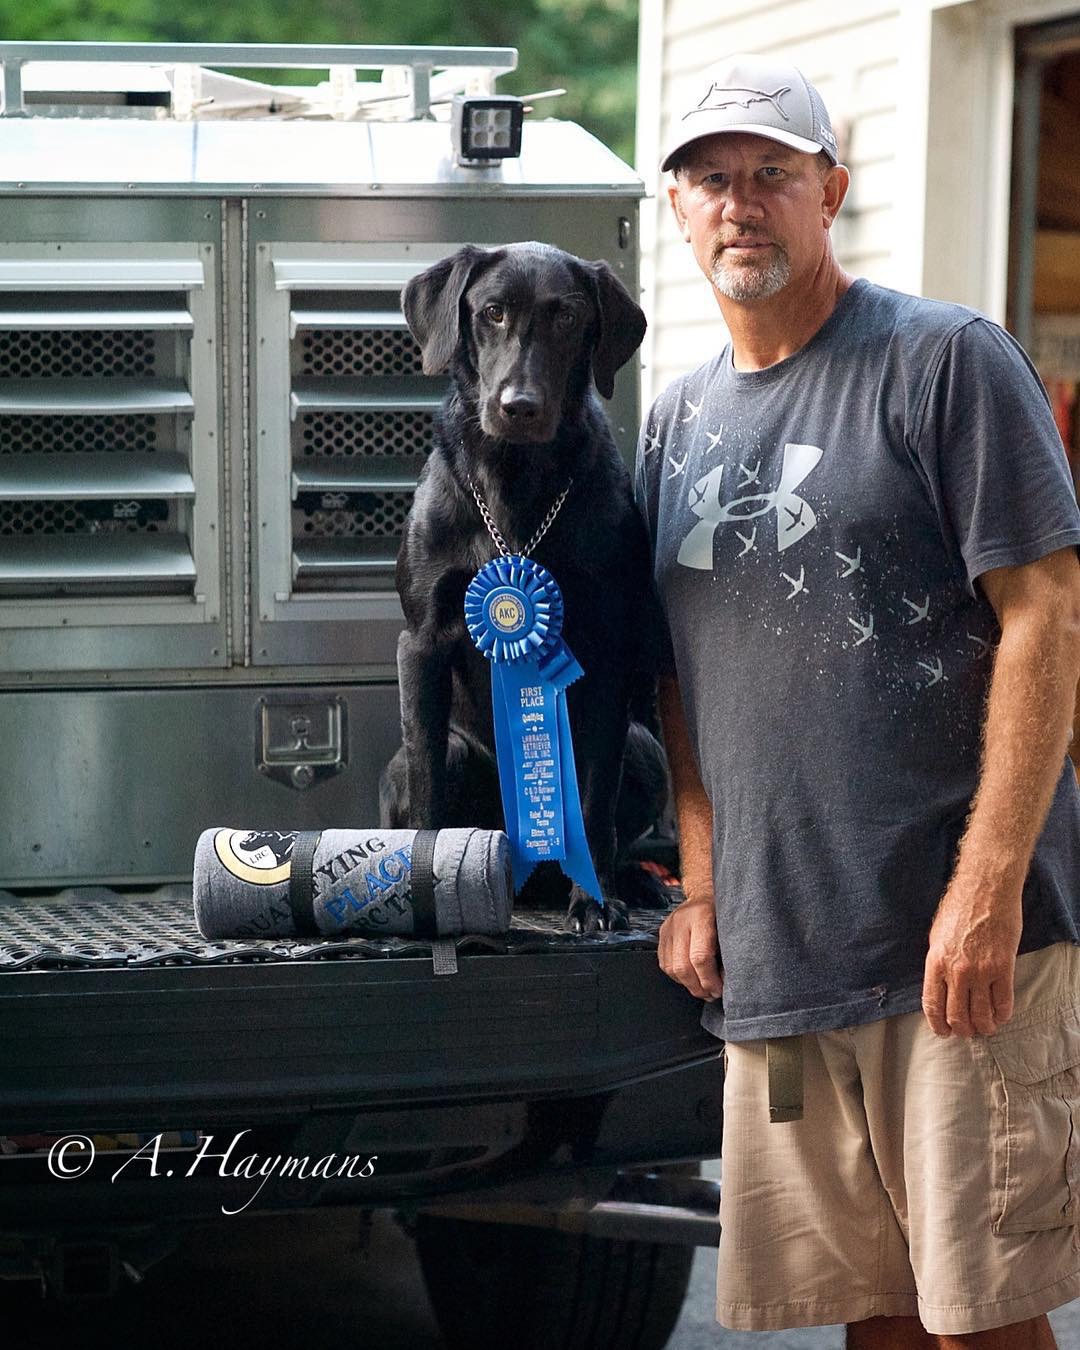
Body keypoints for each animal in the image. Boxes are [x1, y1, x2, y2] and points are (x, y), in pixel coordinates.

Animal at [380, 243, 666, 928]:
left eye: (567, 318)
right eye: (492, 312)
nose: (520, 406)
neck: (515, 482)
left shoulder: (605, 652)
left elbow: (592, 799)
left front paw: (594, 901)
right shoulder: (421, 643)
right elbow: (429, 784)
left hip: (646, 750)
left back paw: (630, 881)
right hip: (433, 760)